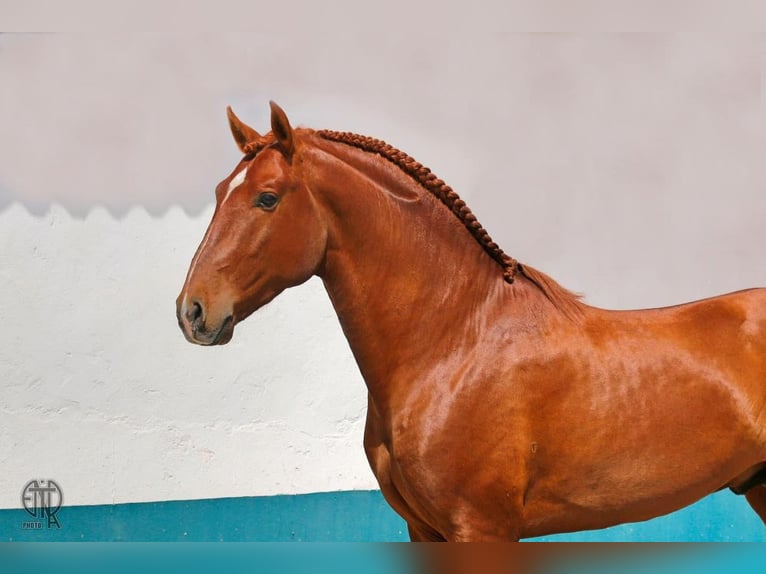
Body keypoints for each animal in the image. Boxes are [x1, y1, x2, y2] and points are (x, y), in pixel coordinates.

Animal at [176, 101, 766, 541]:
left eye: (267, 198)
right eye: (218, 193)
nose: (192, 311)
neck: (454, 344)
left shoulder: (481, 529)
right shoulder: (424, 531)